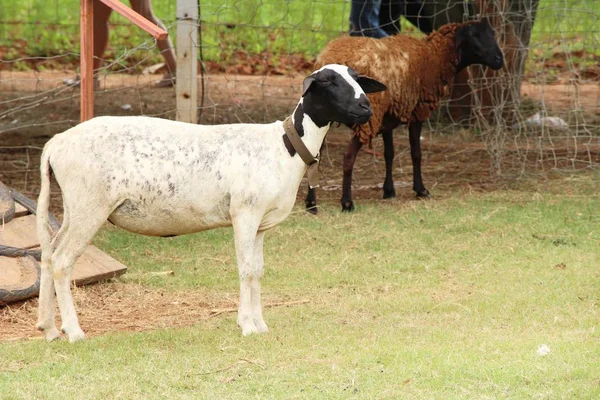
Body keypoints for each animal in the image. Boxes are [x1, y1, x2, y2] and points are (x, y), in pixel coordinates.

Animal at [37, 64, 386, 342]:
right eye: (328, 82)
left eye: (358, 79)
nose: (365, 107)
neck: (283, 147)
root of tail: (55, 144)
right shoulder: (244, 213)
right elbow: (246, 270)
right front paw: (247, 326)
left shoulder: (260, 224)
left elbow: (258, 270)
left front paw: (260, 324)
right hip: (90, 204)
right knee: (63, 261)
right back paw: (74, 332)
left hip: (74, 206)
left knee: (48, 254)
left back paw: (49, 328)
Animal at [308, 20, 504, 212]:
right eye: (474, 36)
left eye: (492, 34)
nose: (499, 60)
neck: (434, 57)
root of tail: (327, 60)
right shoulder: (418, 110)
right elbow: (416, 153)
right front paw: (421, 190)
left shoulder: (387, 117)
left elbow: (389, 154)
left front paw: (389, 191)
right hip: (367, 116)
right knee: (348, 156)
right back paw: (347, 203)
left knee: (314, 156)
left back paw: (311, 203)